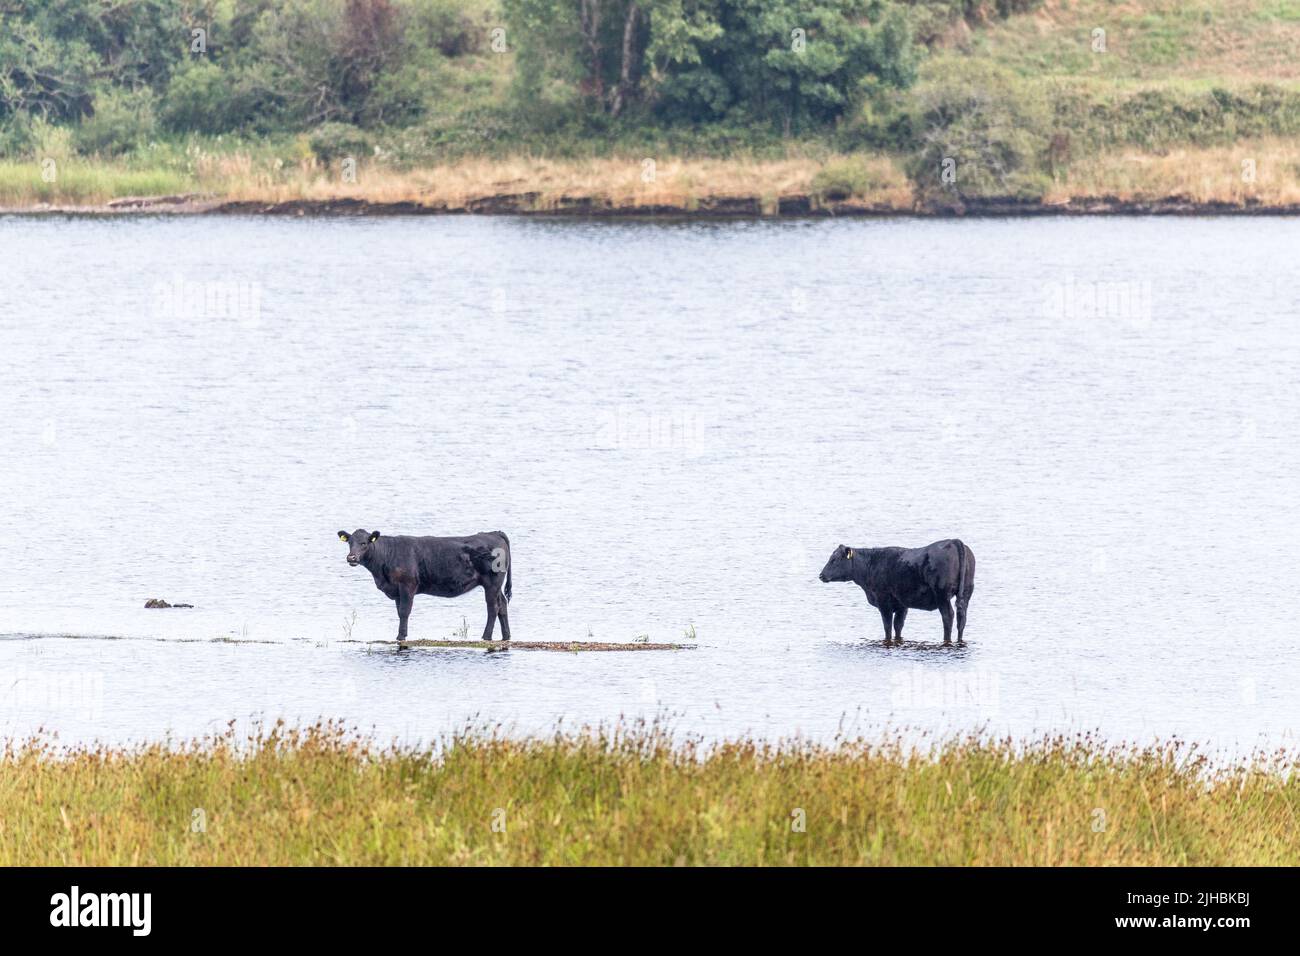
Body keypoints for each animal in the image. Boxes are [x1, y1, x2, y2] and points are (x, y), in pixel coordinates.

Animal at [335, 530, 512, 642]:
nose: (351, 558)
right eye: (350, 542)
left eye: (364, 543)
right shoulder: (397, 590)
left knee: (493, 608)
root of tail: (494, 533)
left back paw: (486, 636)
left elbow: (404, 611)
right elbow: (399, 612)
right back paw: (506, 635)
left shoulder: (407, 585)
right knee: (502, 605)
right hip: (496, 586)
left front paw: (401, 636)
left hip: (492, 583)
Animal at [816, 538, 972, 642]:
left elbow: (887, 626)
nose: (821, 575)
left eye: (834, 560)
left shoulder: (883, 601)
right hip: (966, 592)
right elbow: (898, 625)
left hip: (942, 595)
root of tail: (953, 541)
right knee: (962, 617)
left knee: (948, 616)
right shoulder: (902, 604)